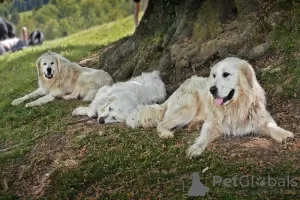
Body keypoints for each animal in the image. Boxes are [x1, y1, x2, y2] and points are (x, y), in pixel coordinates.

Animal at [127, 56, 294, 158]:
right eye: (214, 75)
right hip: (187, 109)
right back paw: (166, 133)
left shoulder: (261, 119)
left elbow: (272, 127)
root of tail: (177, 89)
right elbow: (203, 138)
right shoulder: (211, 124)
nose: (212, 90)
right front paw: (195, 148)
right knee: (161, 123)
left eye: (226, 74)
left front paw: (284, 134)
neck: (235, 106)